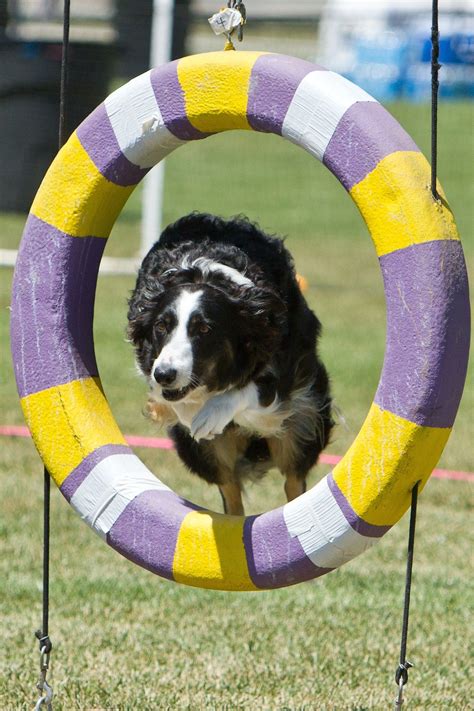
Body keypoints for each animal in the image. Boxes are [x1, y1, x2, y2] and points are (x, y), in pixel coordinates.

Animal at [127, 214, 334, 516]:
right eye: (161, 326)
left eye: (204, 329)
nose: (165, 374)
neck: (203, 272)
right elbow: (175, 403)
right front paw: (190, 409)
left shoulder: (283, 366)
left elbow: (250, 390)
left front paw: (211, 413)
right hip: (204, 453)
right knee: (230, 491)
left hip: (302, 425)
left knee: (294, 481)